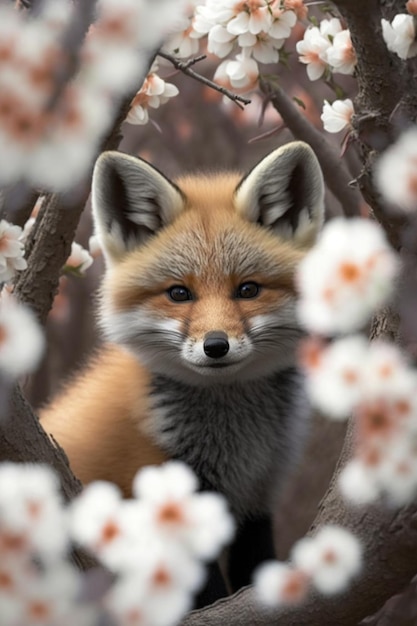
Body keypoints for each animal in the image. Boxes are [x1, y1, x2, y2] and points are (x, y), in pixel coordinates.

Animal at [39, 140, 324, 600]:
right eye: (178, 294)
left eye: (248, 290)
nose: (216, 346)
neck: (238, 443)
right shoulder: (170, 504)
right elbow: (207, 594)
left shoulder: (257, 499)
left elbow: (253, 571)